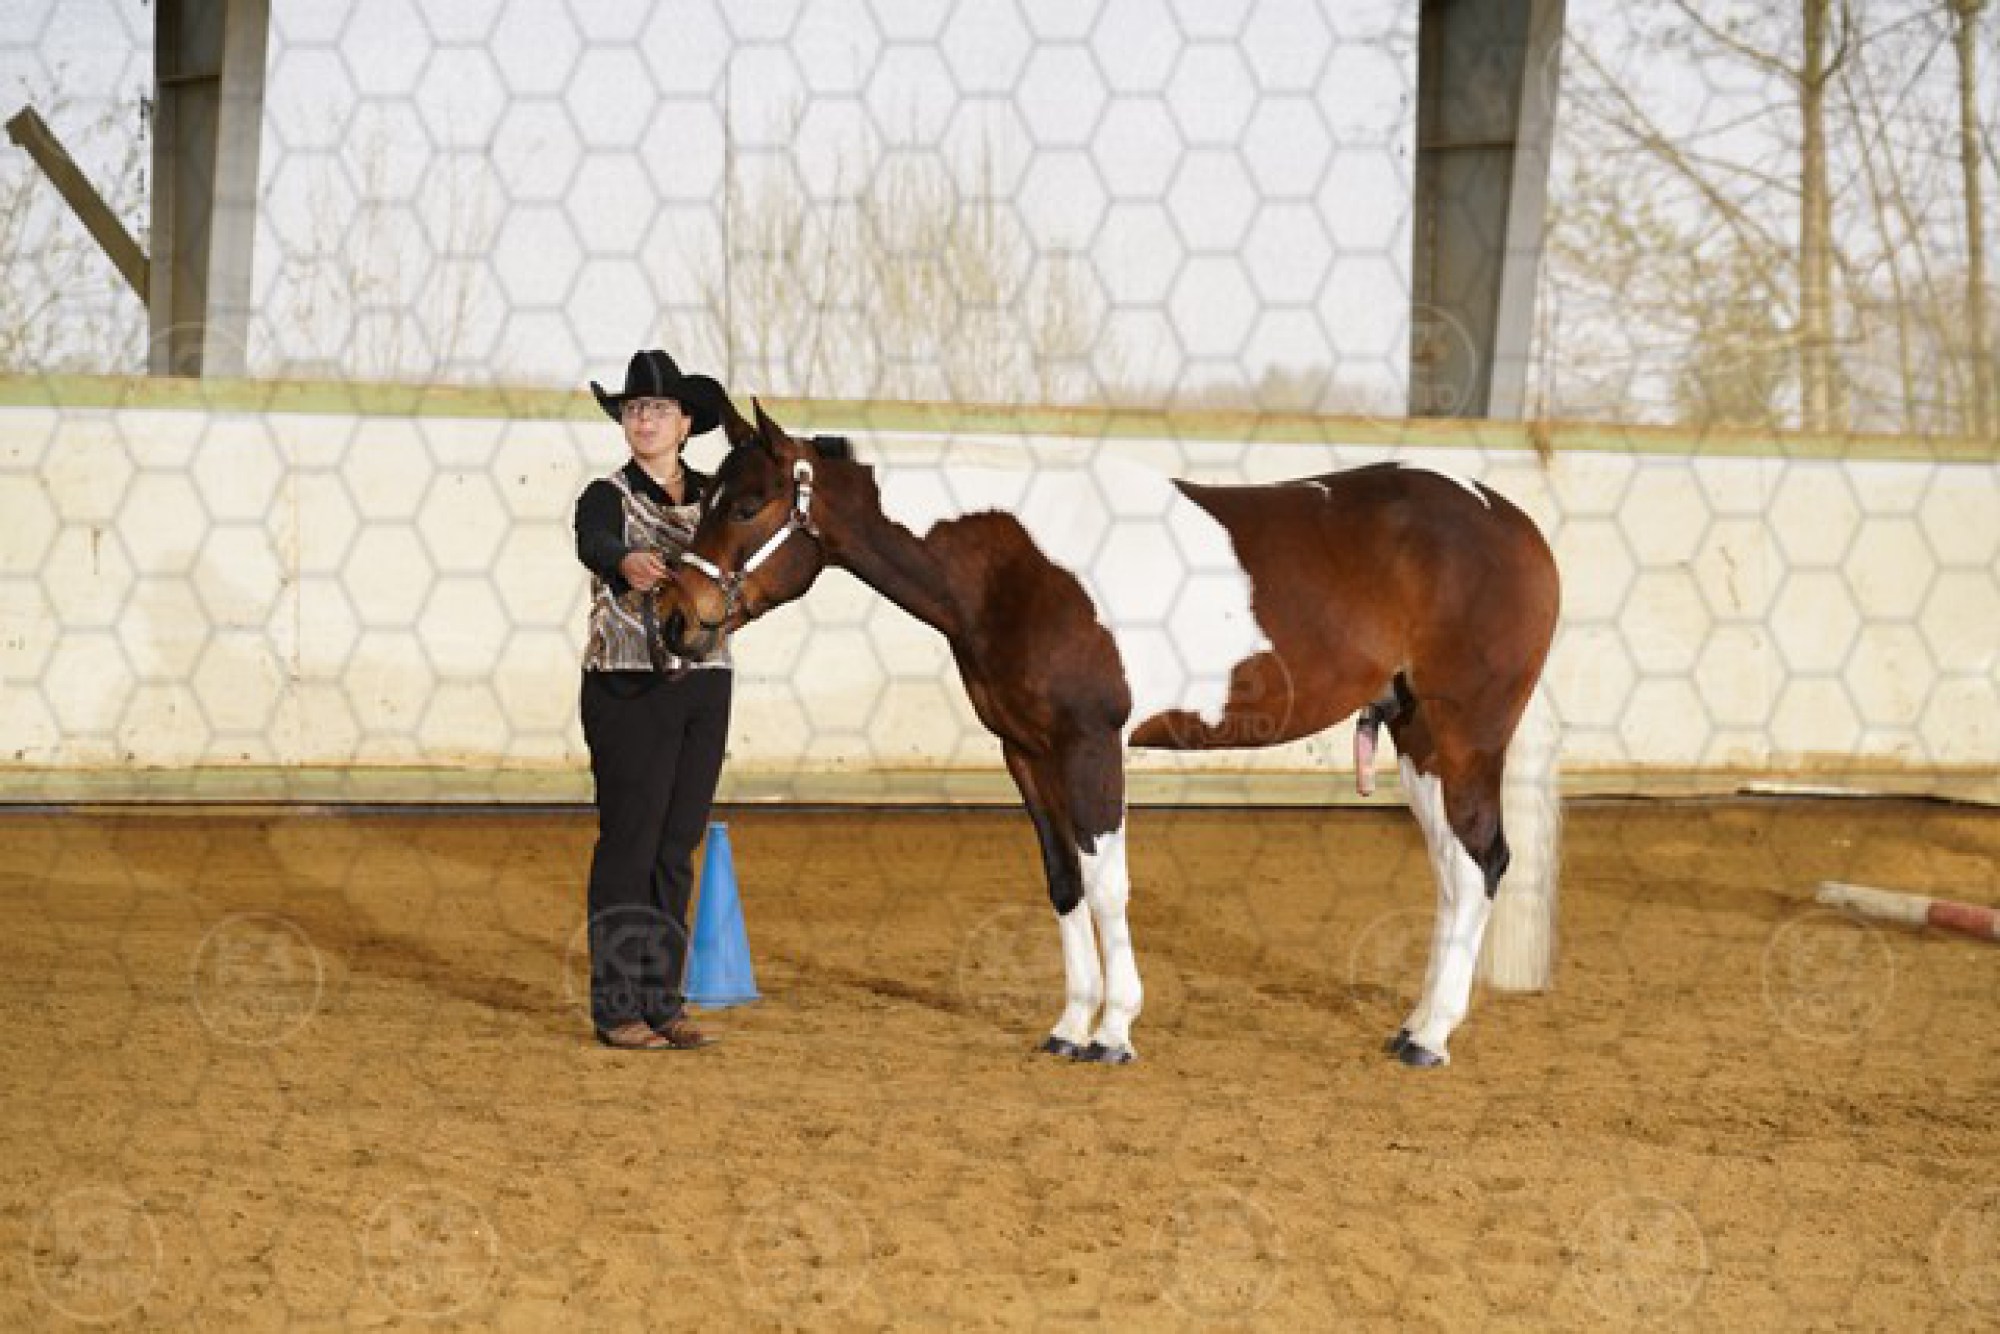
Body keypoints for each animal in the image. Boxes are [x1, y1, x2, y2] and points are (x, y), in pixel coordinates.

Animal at [660, 397, 1562, 1068]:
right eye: (702, 497)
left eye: (746, 505)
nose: (674, 619)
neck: (1014, 564)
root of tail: (1514, 522)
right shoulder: (1026, 752)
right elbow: (1065, 880)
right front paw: (1070, 1025)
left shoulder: (1093, 746)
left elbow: (1108, 884)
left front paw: (1116, 1030)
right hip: (1417, 739)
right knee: (1452, 872)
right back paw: (1415, 1024)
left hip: (1466, 734)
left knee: (1483, 862)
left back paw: (1431, 1039)